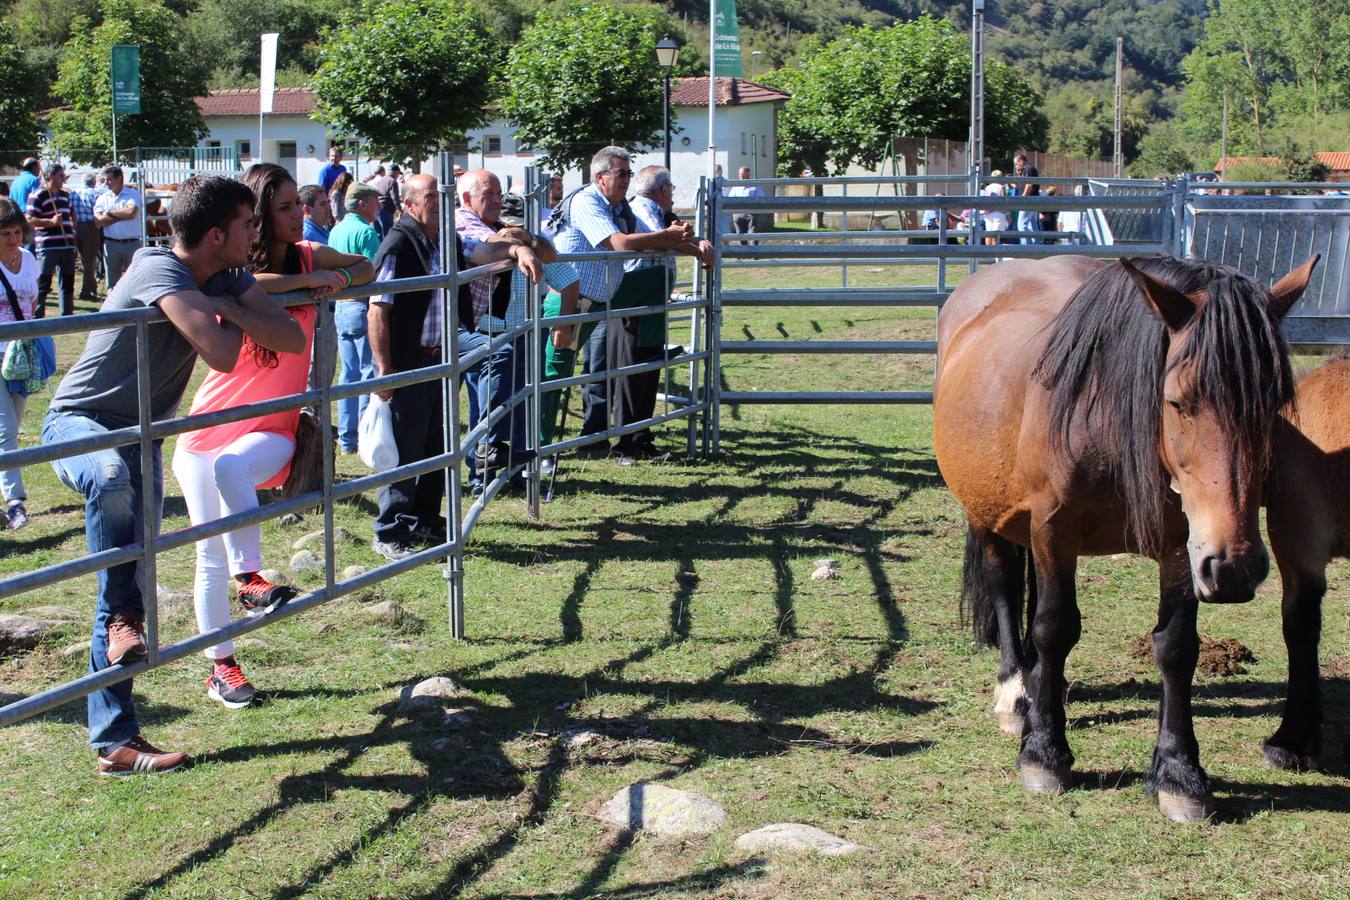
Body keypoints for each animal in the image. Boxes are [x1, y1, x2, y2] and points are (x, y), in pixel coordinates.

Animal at [934, 253, 1312, 825]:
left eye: (1275, 405)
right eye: (1178, 402)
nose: (1236, 569)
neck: (1104, 415)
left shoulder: (1183, 543)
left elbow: (1176, 648)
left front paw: (1180, 774)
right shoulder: (1053, 529)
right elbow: (1054, 627)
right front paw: (1044, 754)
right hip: (988, 515)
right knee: (1004, 590)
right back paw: (1017, 696)